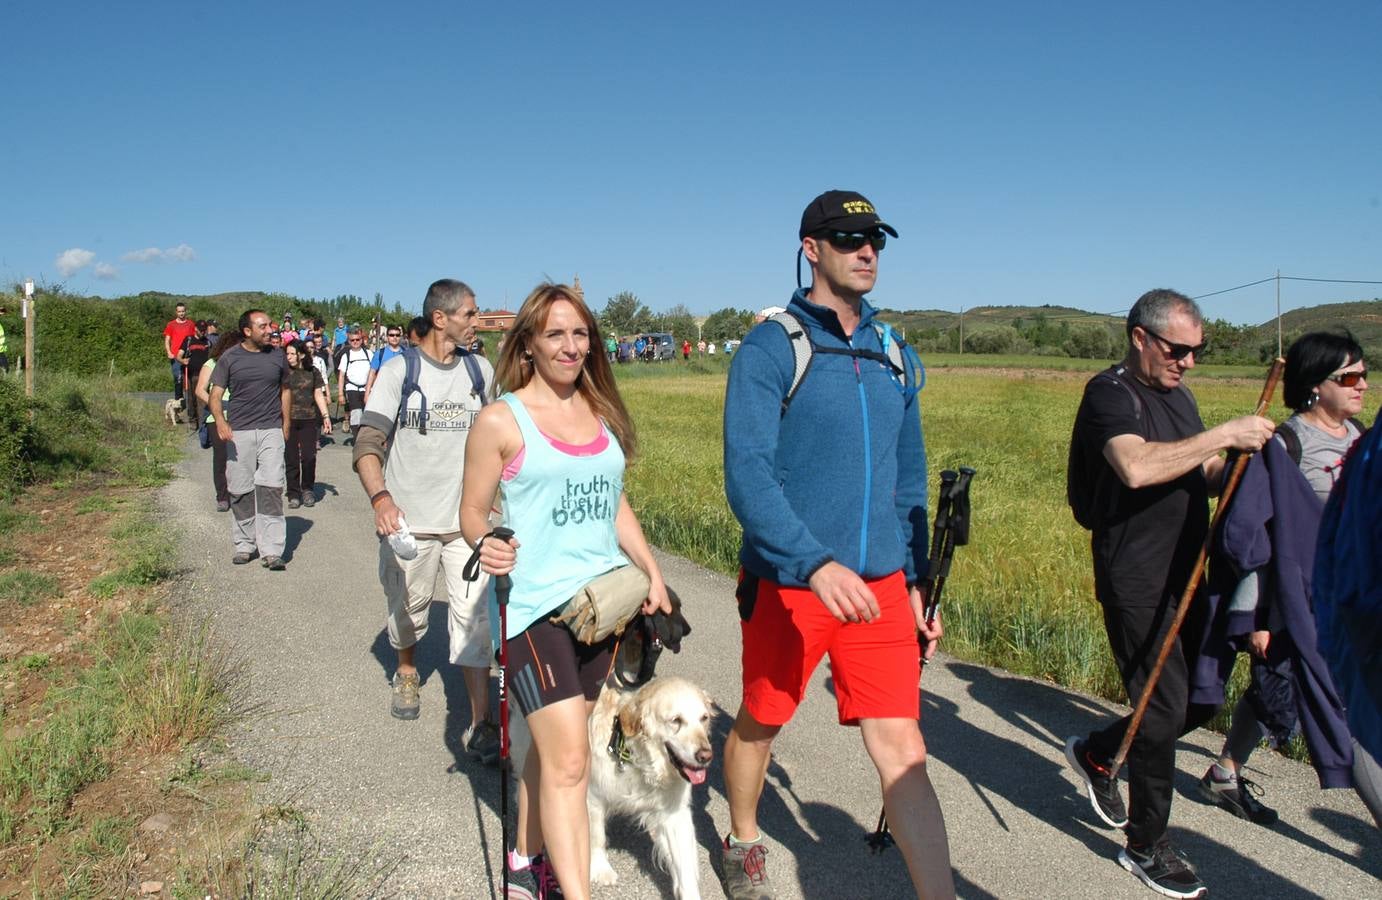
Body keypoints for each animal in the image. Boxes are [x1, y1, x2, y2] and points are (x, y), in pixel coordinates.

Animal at [585, 674, 713, 900]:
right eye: (676, 720)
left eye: (704, 718)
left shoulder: (674, 813)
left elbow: (685, 866)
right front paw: (601, 869)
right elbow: (596, 835)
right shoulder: (593, 797)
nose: (705, 756)